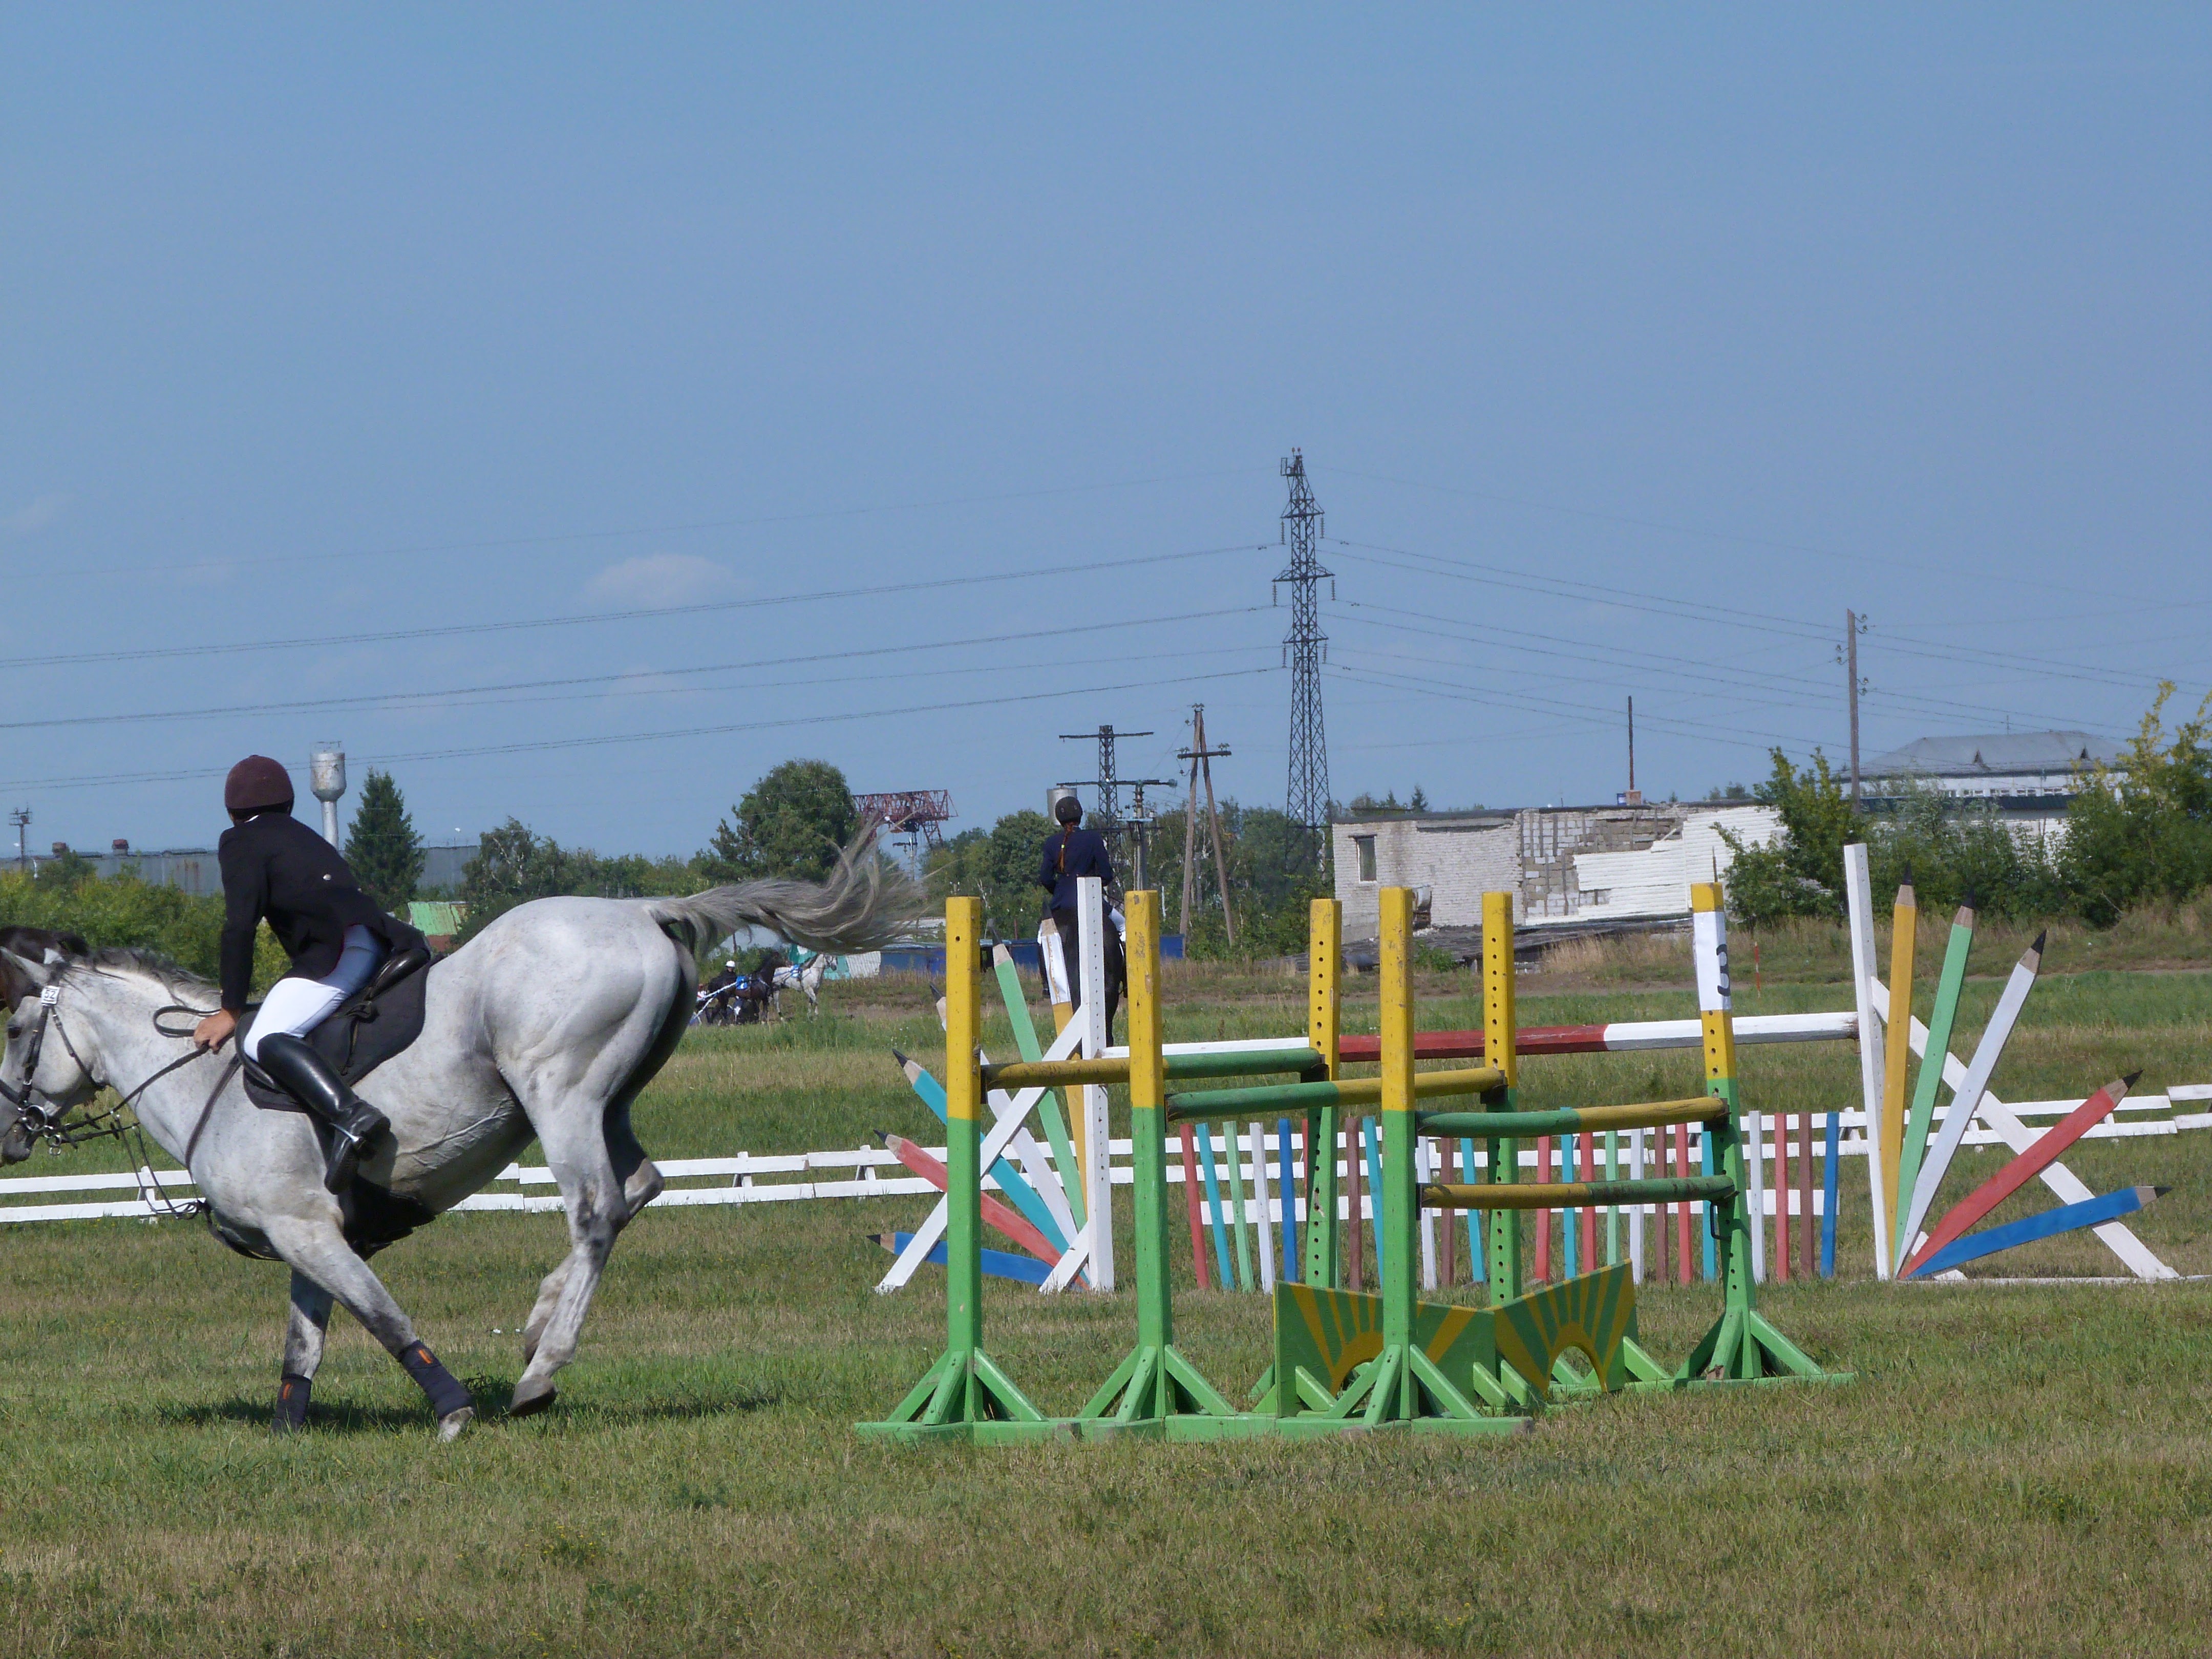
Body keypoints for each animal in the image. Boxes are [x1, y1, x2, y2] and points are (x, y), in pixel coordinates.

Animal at [0, 842, 916, 1440]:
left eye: (13, 1030)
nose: (12, 1132)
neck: (207, 1082)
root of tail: (640, 909)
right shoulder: (307, 1230)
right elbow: (304, 1339)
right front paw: (287, 1432)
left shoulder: (307, 1229)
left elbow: (381, 1316)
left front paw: (450, 1412)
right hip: (609, 1099)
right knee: (637, 1188)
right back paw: (539, 1325)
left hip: (560, 1094)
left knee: (595, 1210)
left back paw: (540, 1374)